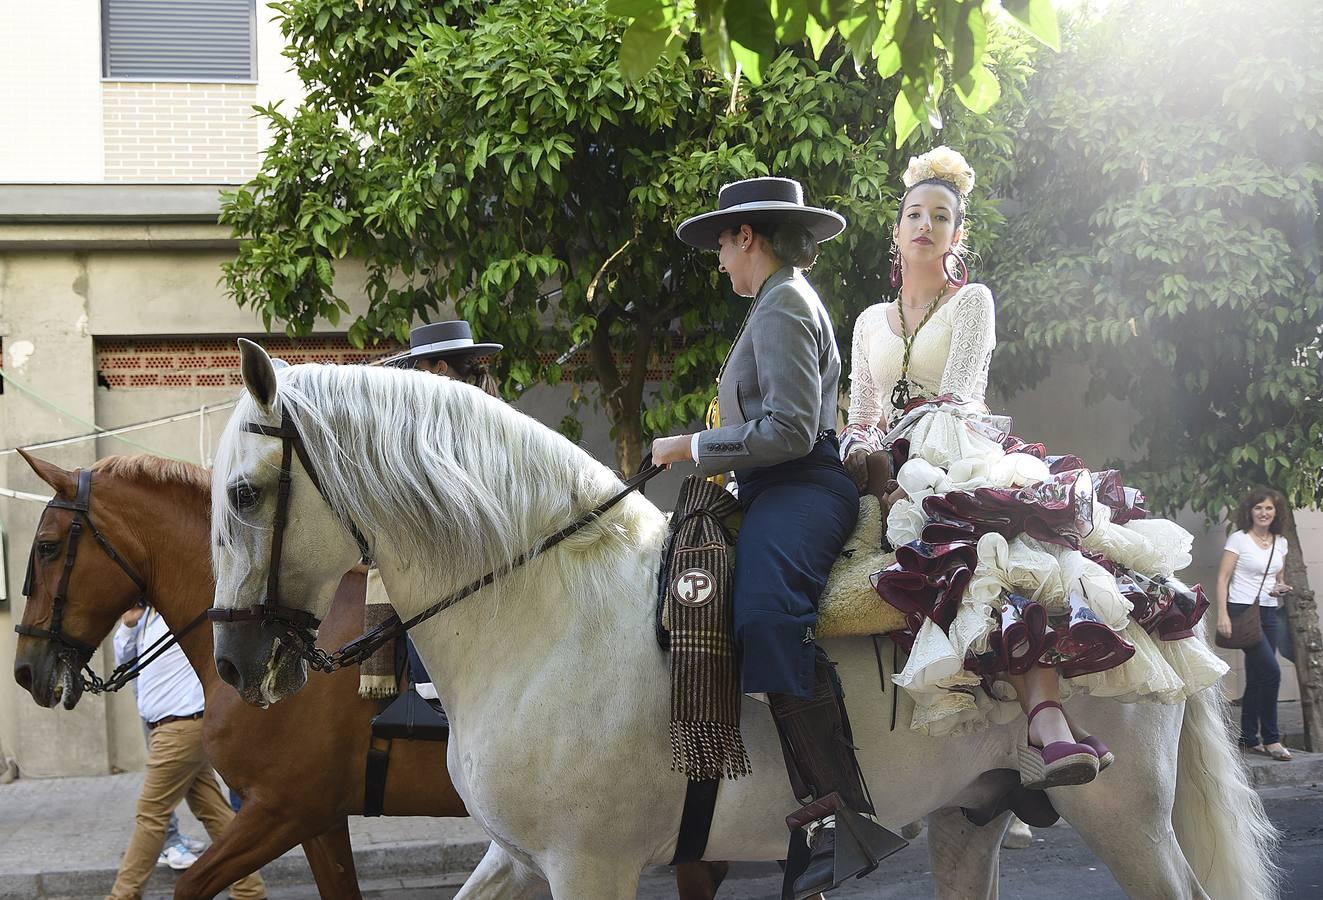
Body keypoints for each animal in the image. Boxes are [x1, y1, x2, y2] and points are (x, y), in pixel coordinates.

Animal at [211, 341, 1275, 899]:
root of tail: (1140, 591)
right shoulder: (517, 858)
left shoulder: (588, 866)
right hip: (972, 816)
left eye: (245, 494)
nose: (234, 662)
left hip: (1123, 816)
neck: (541, 612)